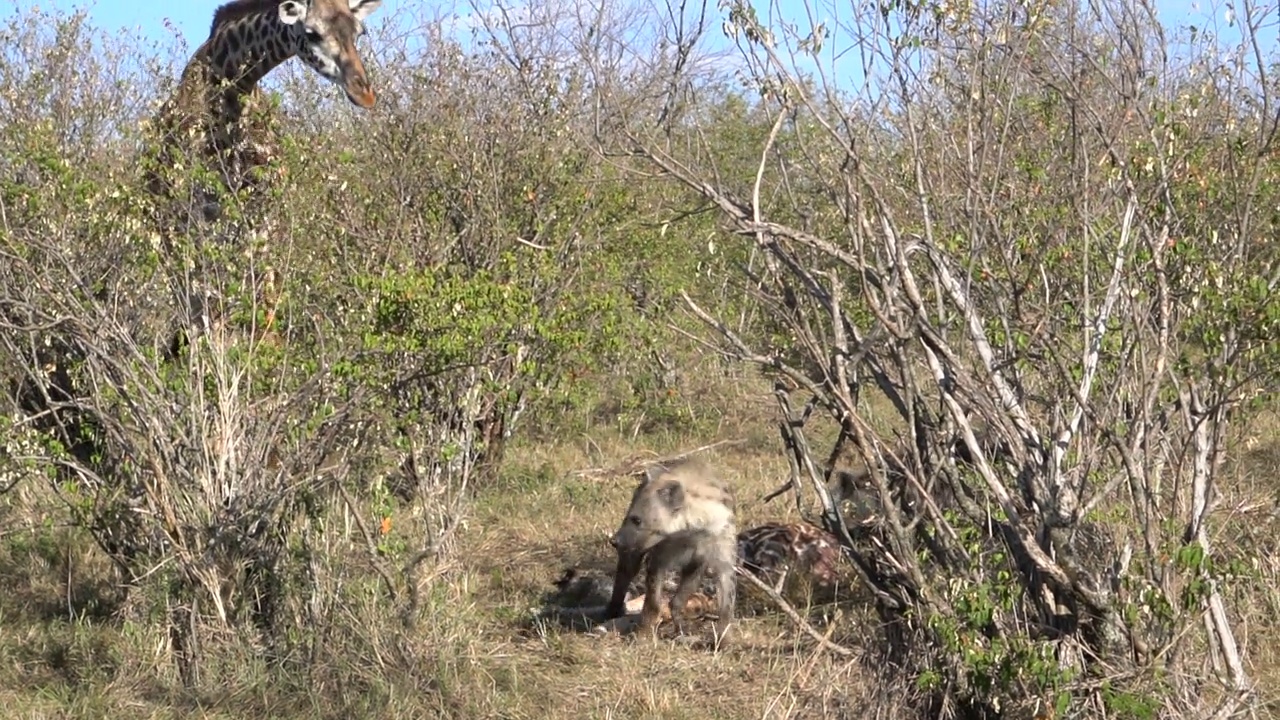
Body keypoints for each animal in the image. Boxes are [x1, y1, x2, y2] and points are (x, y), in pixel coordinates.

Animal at [144, 0, 384, 353]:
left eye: (359, 32)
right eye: (312, 33)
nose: (364, 93)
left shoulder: (265, 206)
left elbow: (262, 288)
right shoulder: (193, 213)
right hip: (167, 224)